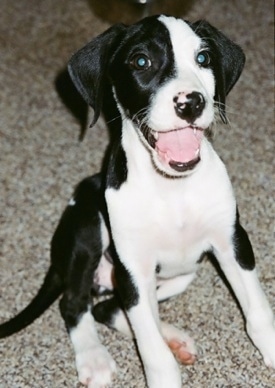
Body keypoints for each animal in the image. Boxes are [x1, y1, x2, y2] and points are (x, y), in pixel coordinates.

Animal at [0, 15, 275, 388]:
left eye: (203, 58)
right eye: (141, 61)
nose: (191, 103)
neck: (173, 190)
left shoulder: (232, 242)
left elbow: (258, 312)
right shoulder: (133, 268)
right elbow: (153, 353)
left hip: (183, 272)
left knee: (108, 308)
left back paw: (174, 338)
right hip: (88, 227)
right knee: (75, 304)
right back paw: (95, 358)